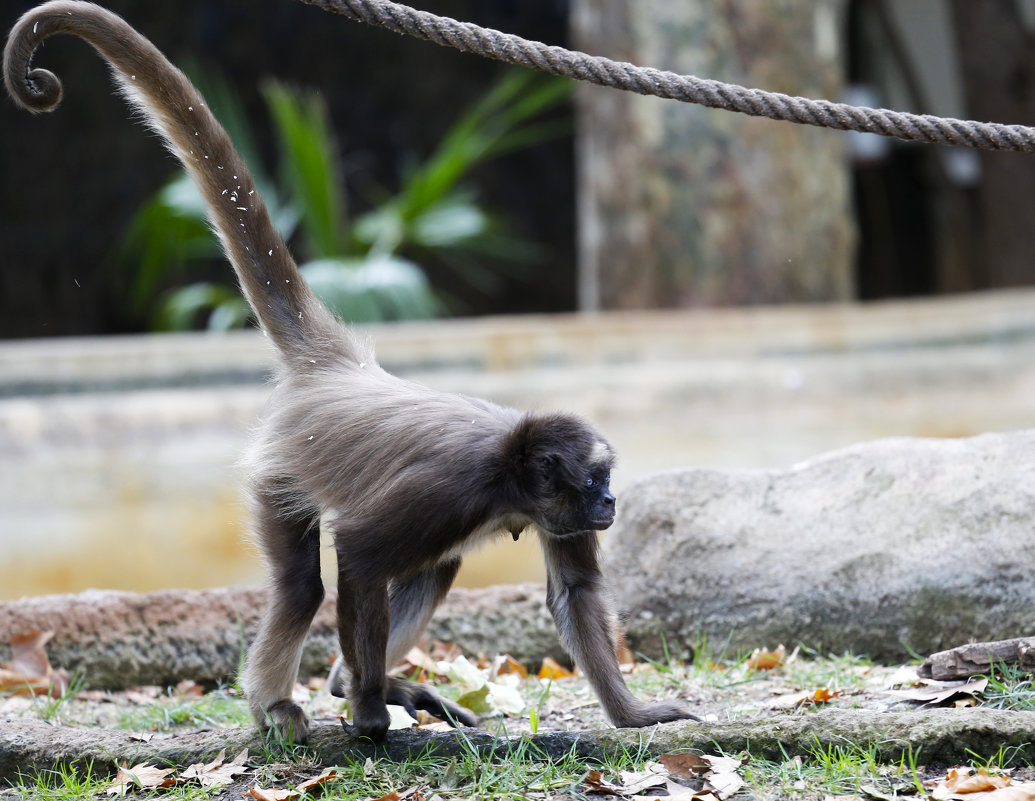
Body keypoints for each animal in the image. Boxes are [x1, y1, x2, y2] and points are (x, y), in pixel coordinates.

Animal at [4, 0, 695, 745]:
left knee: (436, 564)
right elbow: (361, 555)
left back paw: (356, 679)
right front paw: (366, 711)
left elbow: (573, 592)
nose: (610, 504)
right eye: (595, 481)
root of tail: (342, 368)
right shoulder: (450, 490)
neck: (509, 473)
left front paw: (634, 714)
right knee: (306, 584)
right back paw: (302, 698)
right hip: (280, 469)